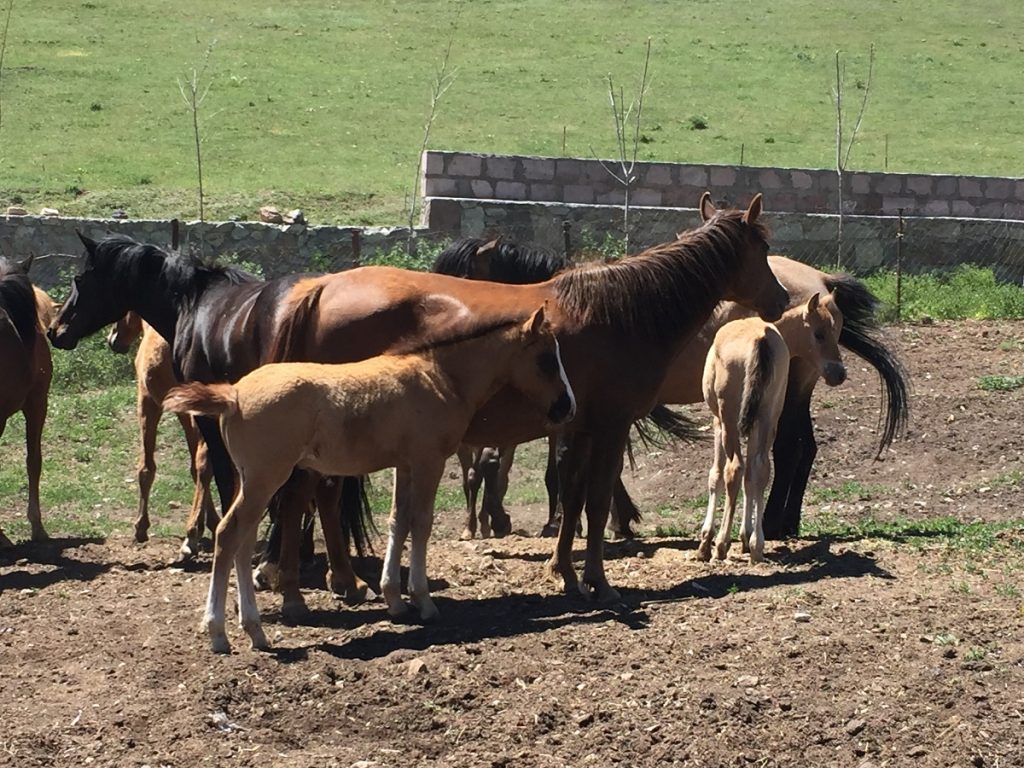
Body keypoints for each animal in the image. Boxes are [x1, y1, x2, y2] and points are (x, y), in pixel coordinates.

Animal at [105, 309, 216, 557]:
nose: (113, 339)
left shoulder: (148, 402)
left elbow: (146, 468)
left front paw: (140, 527)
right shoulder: (184, 414)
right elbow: (194, 468)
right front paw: (212, 522)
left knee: (205, 462)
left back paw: (191, 535)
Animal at [163, 303, 573, 651]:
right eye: (546, 359)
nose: (566, 407)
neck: (439, 376)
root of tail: (232, 394)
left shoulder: (404, 465)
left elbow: (398, 522)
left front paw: (395, 600)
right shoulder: (429, 461)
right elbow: (421, 524)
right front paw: (424, 602)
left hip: (251, 481)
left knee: (243, 540)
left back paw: (255, 631)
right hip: (266, 478)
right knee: (229, 535)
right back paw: (220, 633)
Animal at [262, 192, 782, 602]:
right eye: (764, 247)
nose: (778, 298)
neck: (622, 313)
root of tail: (322, 287)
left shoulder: (578, 428)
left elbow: (571, 495)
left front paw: (563, 571)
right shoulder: (610, 427)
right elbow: (594, 500)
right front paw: (598, 582)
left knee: (312, 495)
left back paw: (324, 581)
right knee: (314, 494)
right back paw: (312, 584)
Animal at [696, 292, 847, 565]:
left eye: (835, 331)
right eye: (820, 333)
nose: (839, 373)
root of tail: (761, 339)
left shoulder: (718, 421)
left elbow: (717, 474)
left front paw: (707, 541)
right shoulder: (759, 422)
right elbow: (752, 476)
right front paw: (746, 538)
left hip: (731, 420)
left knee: (735, 469)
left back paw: (721, 545)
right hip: (766, 417)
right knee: (760, 468)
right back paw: (757, 545)